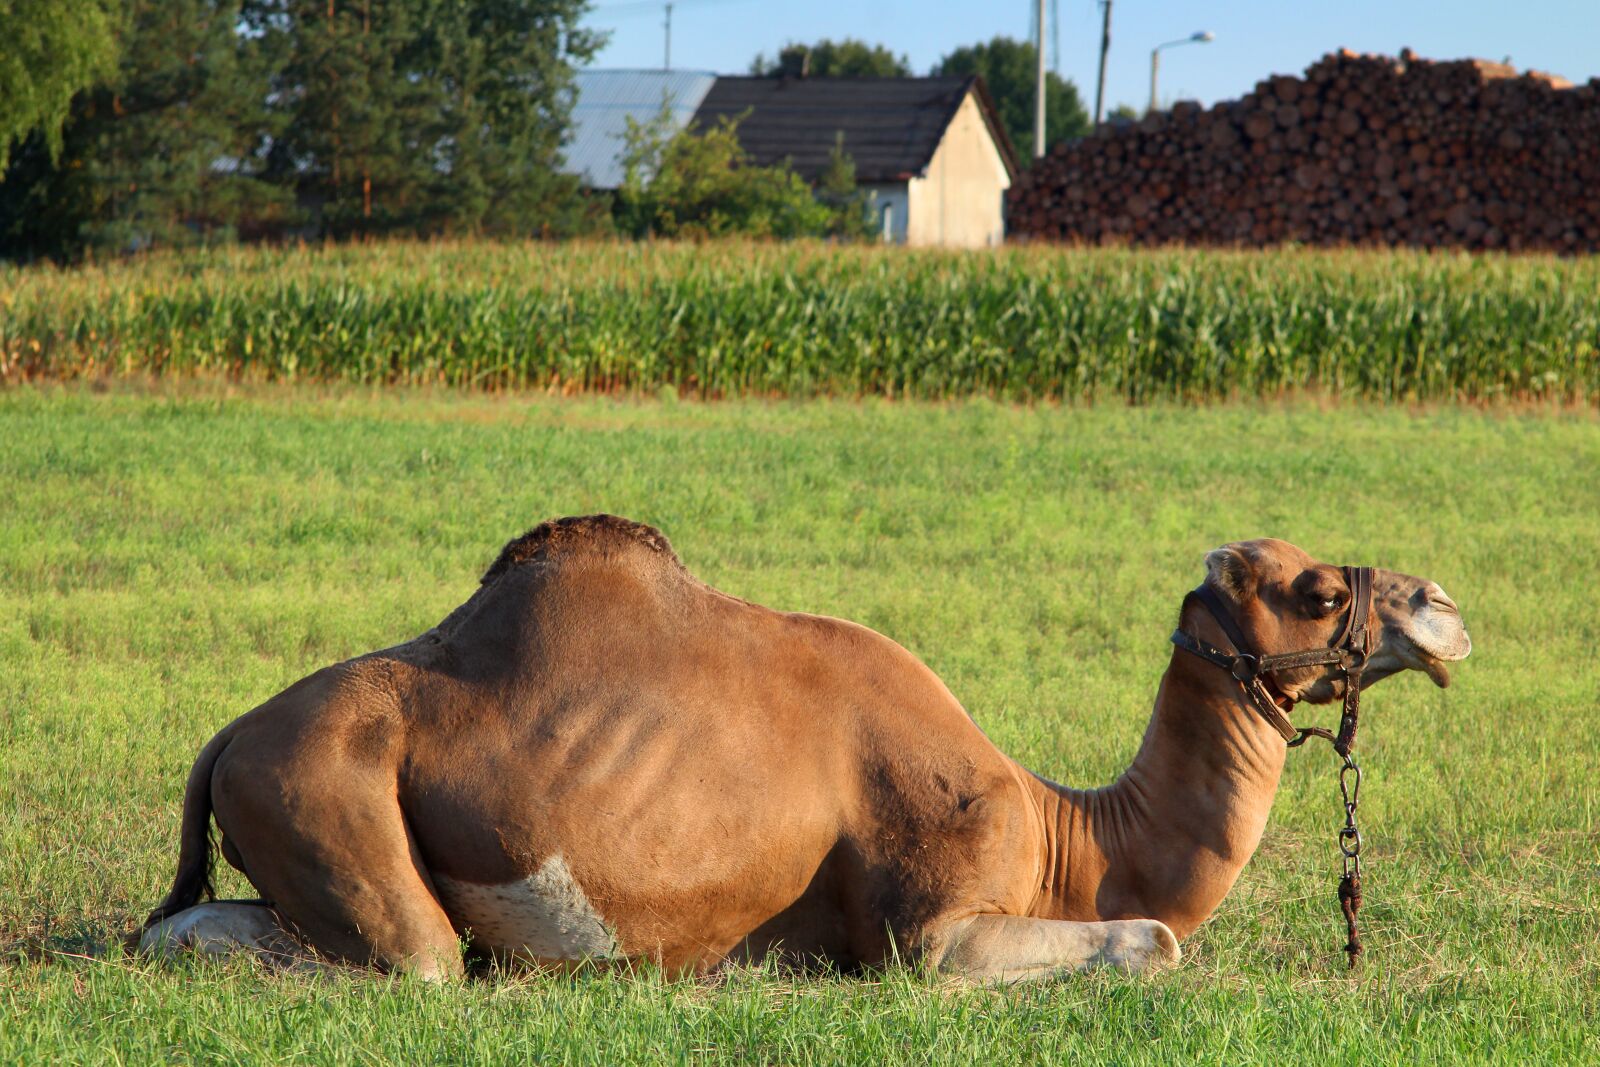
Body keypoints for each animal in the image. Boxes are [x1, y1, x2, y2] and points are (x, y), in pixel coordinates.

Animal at [139, 516, 1470, 981]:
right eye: (1313, 590)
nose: (1442, 605)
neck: (1065, 835)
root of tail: (226, 735)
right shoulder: (930, 925)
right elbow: (1152, 939)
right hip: (324, 788)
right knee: (413, 958)